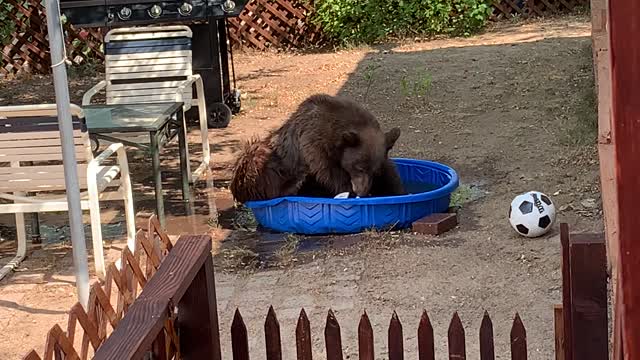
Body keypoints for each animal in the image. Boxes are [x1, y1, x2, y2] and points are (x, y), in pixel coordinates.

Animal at [230, 93, 404, 202]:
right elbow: (330, 174)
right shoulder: (315, 144)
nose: (361, 191)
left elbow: (390, 175)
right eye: (359, 167)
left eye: (375, 171)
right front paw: (348, 189)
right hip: (261, 161)